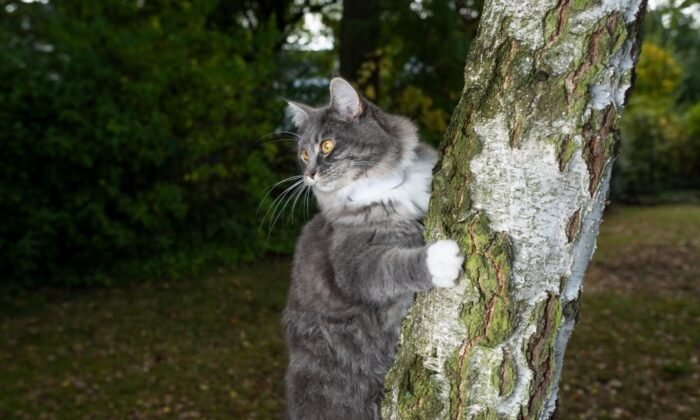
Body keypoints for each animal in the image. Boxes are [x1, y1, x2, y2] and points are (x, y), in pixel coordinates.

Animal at [282, 79, 462, 420]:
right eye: (303, 154)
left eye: (327, 145)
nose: (309, 174)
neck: (384, 188)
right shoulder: (354, 267)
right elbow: (395, 266)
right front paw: (441, 260)